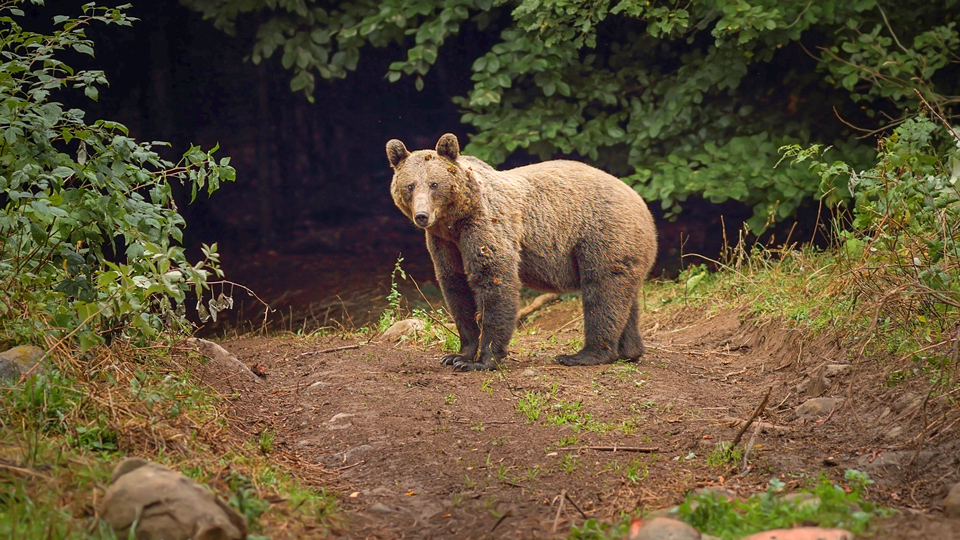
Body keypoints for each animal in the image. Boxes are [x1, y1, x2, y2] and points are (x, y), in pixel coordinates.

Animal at [386, 134, 656, 372]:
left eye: (434, 184)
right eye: (410, 185)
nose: (422, 216)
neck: (455, 220)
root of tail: (641, 203)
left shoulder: (485, 225)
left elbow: (494, 280)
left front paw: (482, 360)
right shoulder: (444, 242)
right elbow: (456, 286)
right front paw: (457, 355)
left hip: (602, 235)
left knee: (601, 293)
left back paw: (583, 354)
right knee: (624, 297)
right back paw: (629, 350)